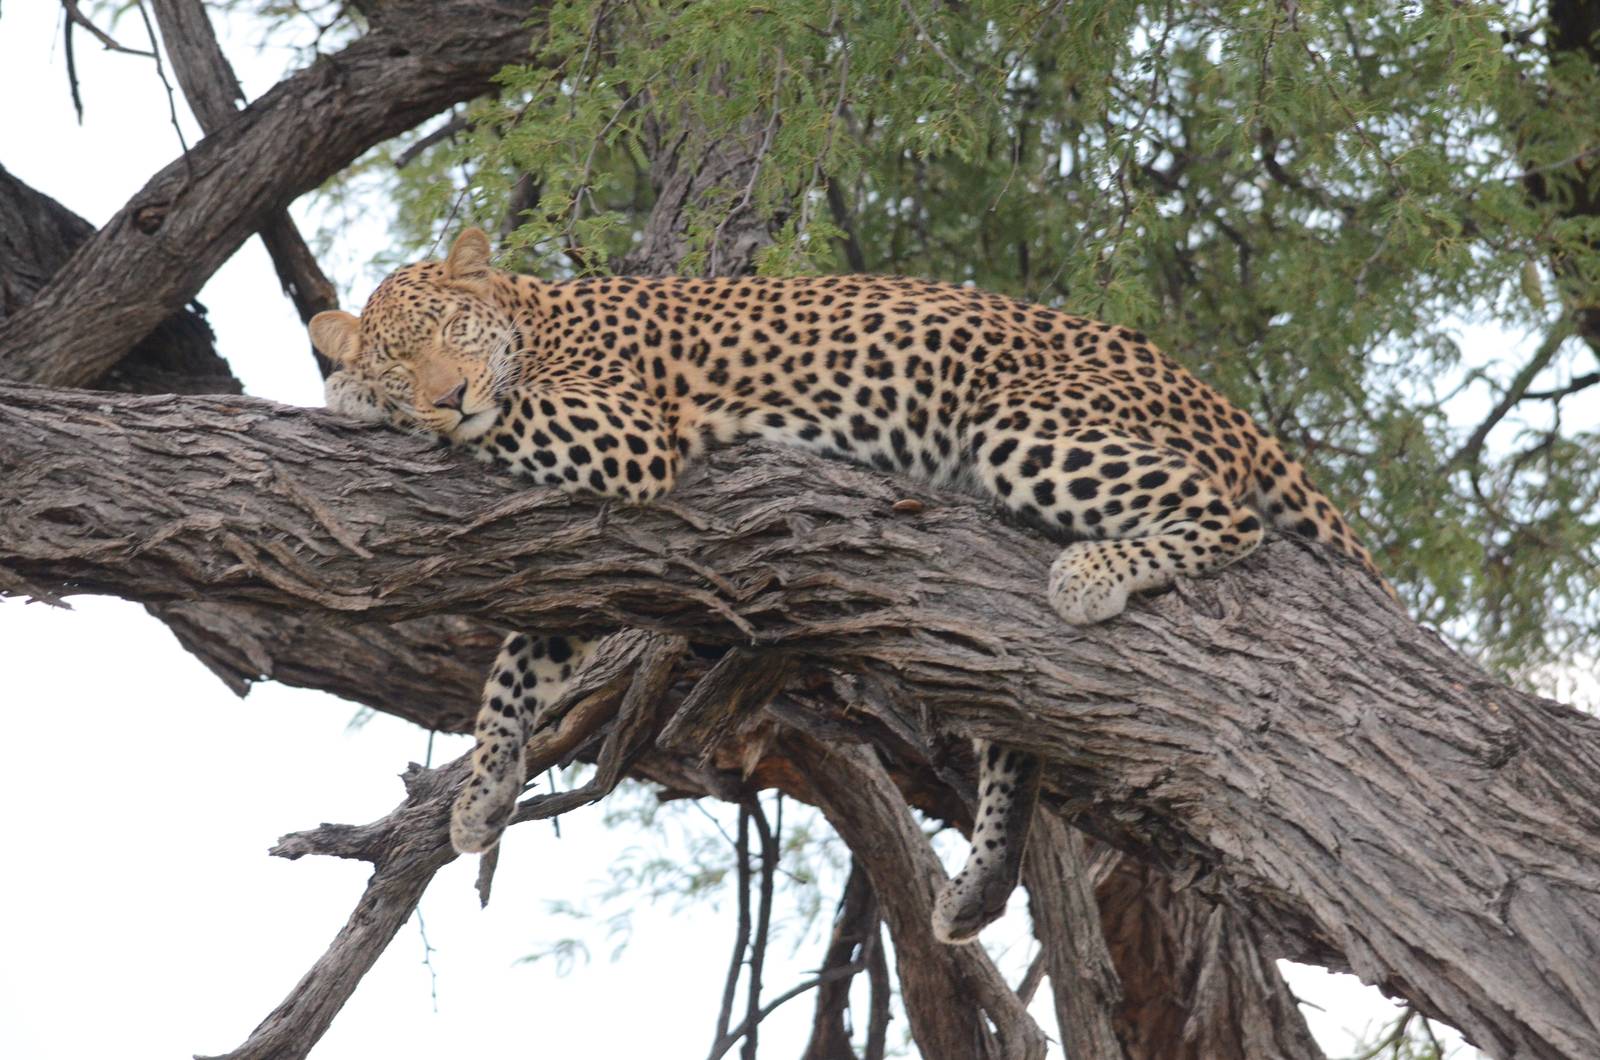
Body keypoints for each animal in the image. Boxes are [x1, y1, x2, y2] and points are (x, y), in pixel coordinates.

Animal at [311, 227, 1390, 945]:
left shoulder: (622, 434)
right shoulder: (587, 571)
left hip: (1026, 427)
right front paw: (483, 794)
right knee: (1018, 723)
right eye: (408, 358)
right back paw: (978, 887)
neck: (534, 317)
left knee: (1233, 517)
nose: (446, 396)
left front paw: (346, 394)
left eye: (451, 333)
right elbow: (513, 669)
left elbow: (508, 431)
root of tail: (1215, 395)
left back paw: (1092, 574)